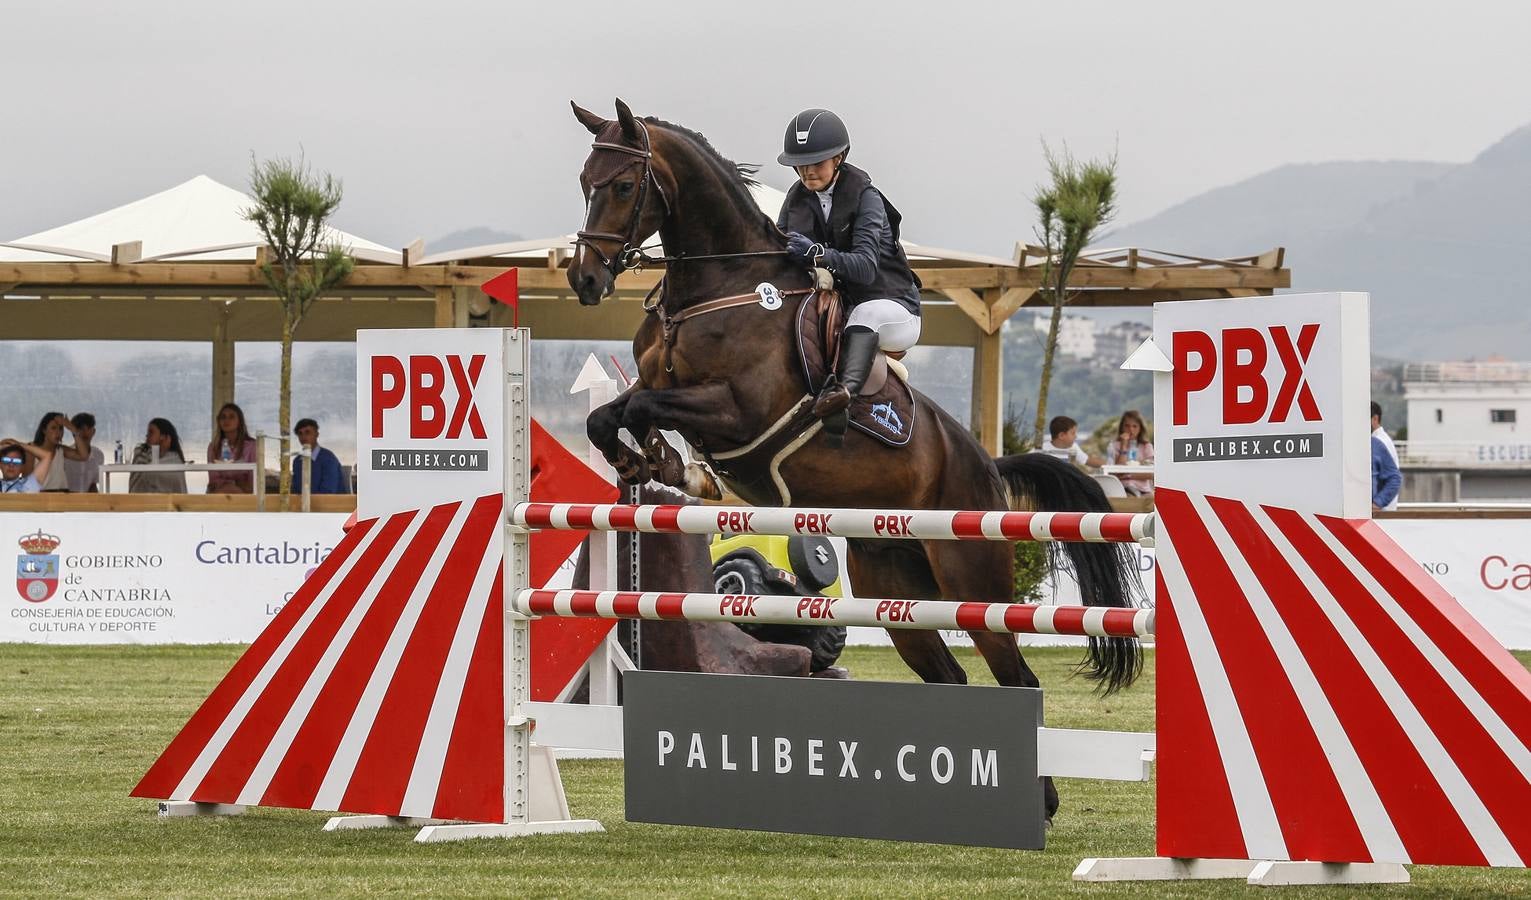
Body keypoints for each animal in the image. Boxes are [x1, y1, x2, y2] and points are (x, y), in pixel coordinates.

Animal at [563, 101, 1139, 820]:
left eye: (621, 185)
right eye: (584, 180)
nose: (584, 279)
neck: (715, 286)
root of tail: (986, 466)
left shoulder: (736, 413)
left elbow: (644, 408)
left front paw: (664, 463)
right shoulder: (659, 387)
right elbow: (609, 414)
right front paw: (652, 465)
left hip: (974, 583)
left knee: (1017, 676)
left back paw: (1041, 799)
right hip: (894, 589)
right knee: (949, 676)